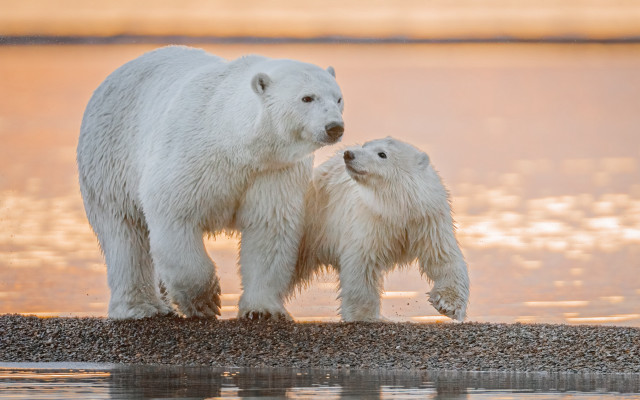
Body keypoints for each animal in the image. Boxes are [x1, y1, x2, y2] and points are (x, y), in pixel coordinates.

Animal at [77, 46, 344, 320]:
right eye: (307, 98)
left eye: (338, 98)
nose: (334, 127)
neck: (234, 140)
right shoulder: (189, 156)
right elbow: (174, 215)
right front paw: (205, 302)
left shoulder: (273, 171)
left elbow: (269, 228)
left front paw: (263, 310)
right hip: (110, 160)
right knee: (124, 234)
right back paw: (140, 307)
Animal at [290, 137, 469, 322]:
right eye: (365, 146)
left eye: (382, 154)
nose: (349, 154)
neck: (399, 209)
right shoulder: (370, 221)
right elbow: (362, 265)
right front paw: (366, 316)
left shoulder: (428, 221)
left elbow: (442, 258)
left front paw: (448, 305)